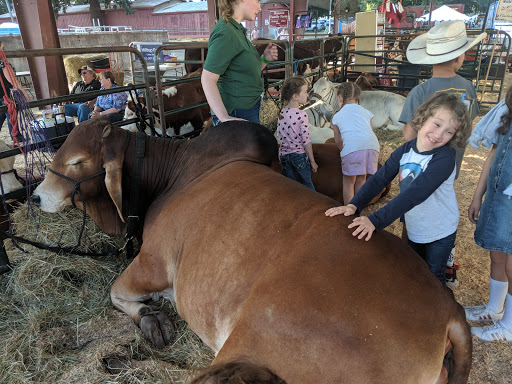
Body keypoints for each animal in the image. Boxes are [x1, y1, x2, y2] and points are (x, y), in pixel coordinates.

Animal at [33, 118, 472, 382]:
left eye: (77, 161)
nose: (36, 197)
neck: (175, 175)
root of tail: (450, 311)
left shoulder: (152, 262)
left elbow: (116, 291)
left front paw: (151, 319)